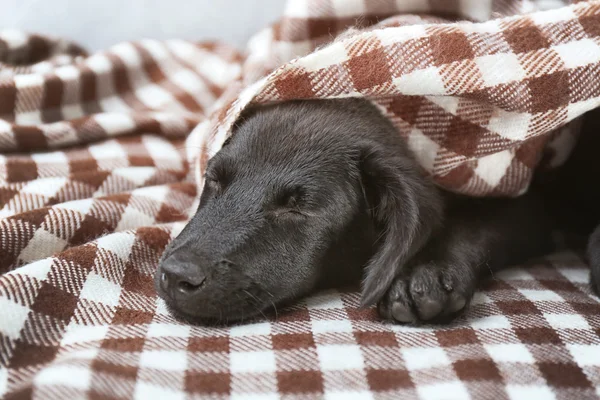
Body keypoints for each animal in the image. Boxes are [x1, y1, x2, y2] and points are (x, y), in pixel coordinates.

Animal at [156, 98, 592, 326]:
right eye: (213, 180)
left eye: (299, 208)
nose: (175, 275)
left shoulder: (529, 203)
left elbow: (474, 227)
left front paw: (426, 271)